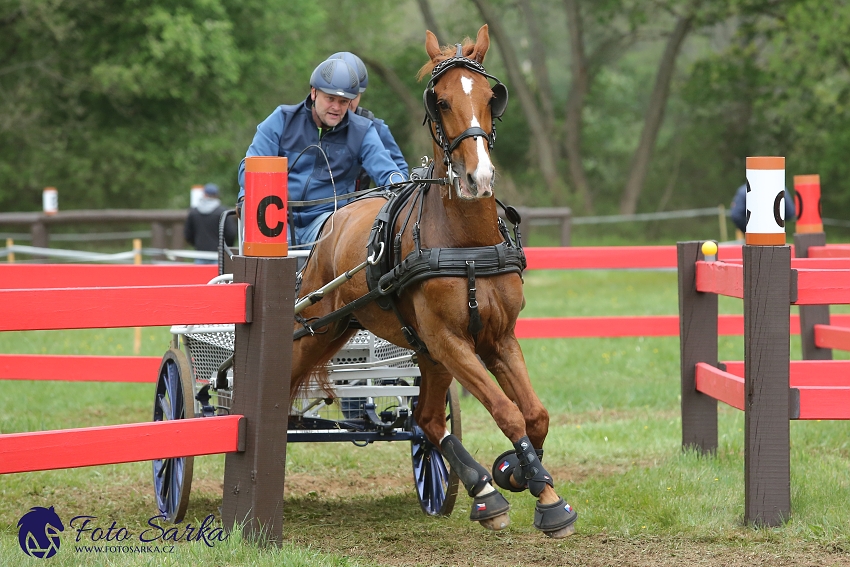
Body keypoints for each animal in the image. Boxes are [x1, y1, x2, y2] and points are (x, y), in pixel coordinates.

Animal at [290, 26, 576, 540]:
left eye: (490, 96)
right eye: (440, 101)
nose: (478, 177)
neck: (467, 245)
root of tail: (332, 219)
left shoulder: (497, 338)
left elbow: (534, 415)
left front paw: (522, 477)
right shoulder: (452, 341)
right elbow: (506, 411)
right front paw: (541, 494)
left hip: (422, 350)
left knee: (424, 420)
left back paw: (482, 489)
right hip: (317, 330)